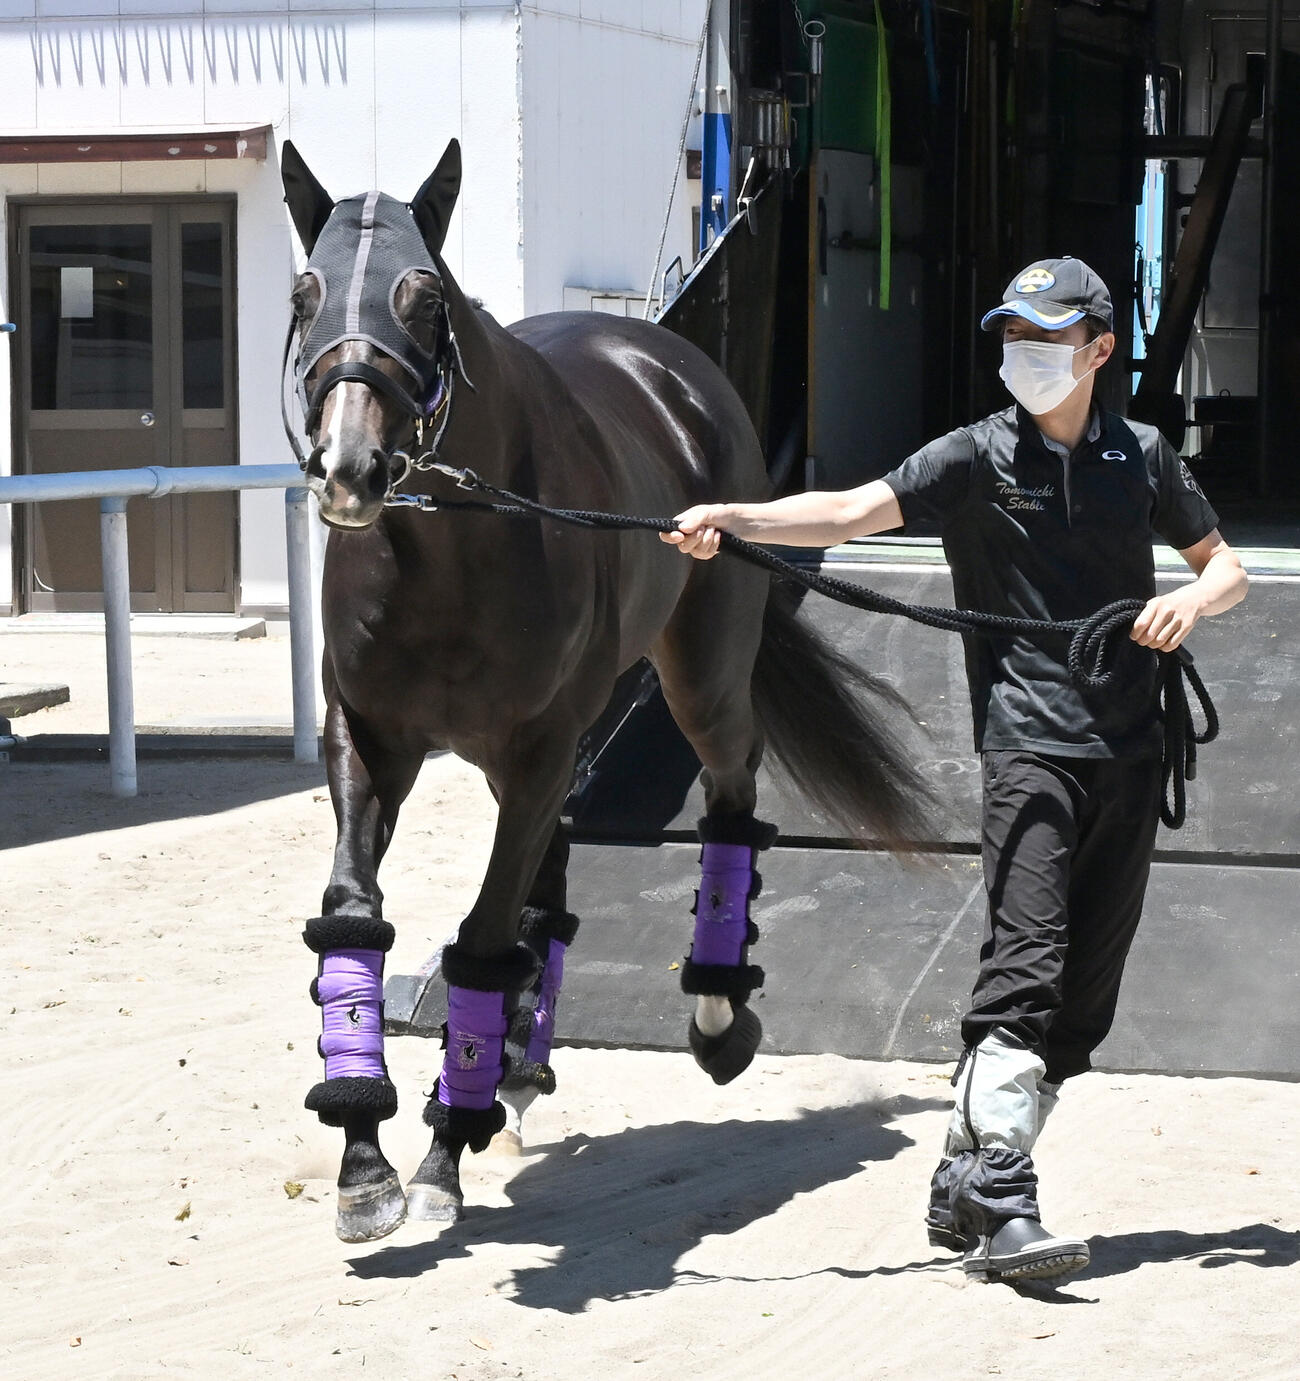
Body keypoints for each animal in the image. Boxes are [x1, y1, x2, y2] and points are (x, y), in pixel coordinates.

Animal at [281, 138, 933, 1244]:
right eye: (304, 293)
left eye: (423, 299)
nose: (349, 469)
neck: (449, 549)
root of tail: (667, 361)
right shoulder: (368, 739)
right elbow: (354, 912)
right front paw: (366, 1157)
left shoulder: (537, 746)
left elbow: (482, 934)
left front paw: (442, 1146)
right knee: (550, 869)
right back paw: (515, 1061)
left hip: (695, 681)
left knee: (729, 788)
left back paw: (713, 1013)